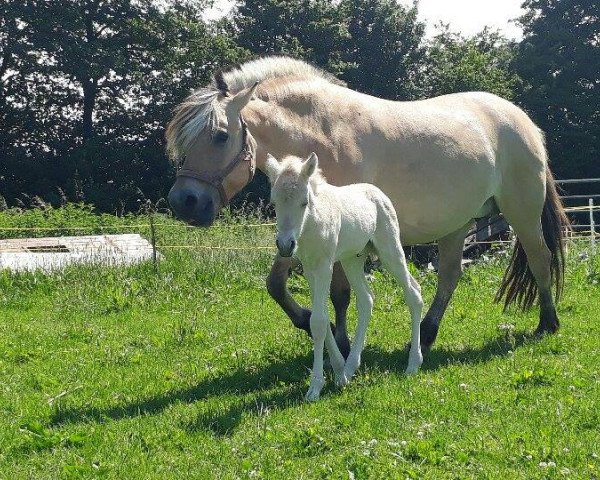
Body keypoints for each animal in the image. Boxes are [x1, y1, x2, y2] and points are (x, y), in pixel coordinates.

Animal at [166, 56, 568, 356]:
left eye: (220, 136)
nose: (184, 202)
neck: (320, 135)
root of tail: (524, 122)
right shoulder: (297, 231)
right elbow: (276, 285)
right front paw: (311, 321)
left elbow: (340, 294)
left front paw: (342, 344)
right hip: (457, 223)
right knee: (450, 276)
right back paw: (426, 334)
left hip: (522, 213)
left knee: (540, 259)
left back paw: (547, 324)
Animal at [264, 154, 424, 402]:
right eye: (275, 203)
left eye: (304, 202)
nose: (285, 245)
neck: (311, 224)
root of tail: (378, 193)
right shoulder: (309, 267)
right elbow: (320, 317)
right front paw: (339, 371)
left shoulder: (324, 265)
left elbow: (318, 321)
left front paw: (315, 387)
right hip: (352, 259)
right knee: (366, 299)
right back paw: (350, 367)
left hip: (390, 250)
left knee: (413, 294)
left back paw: (413, 363)